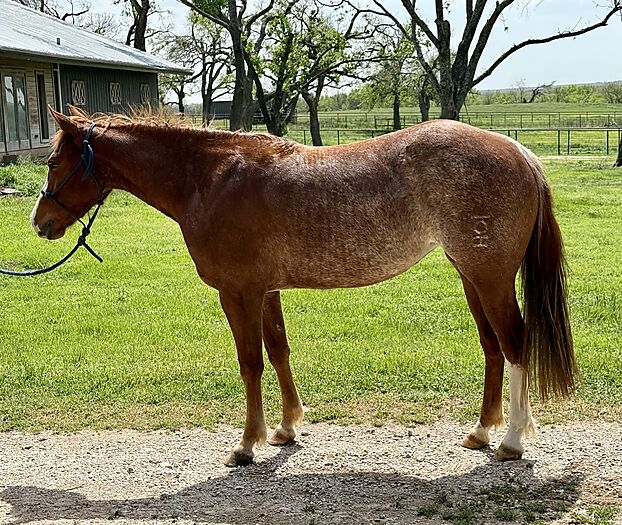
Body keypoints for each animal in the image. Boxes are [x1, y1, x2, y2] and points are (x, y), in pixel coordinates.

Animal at [31, 106, 578, 467]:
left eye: (55, 163)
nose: (40, 223)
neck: (209, 178)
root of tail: (519, 152)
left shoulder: (239, 292)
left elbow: (250, 362)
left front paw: (246, 444)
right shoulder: (266, 291)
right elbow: (278, 351)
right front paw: (287, 427)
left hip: (489, 277)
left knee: (515, 343)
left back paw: (511, 442)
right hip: (470, 275)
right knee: (492, 346)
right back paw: (481, 433)